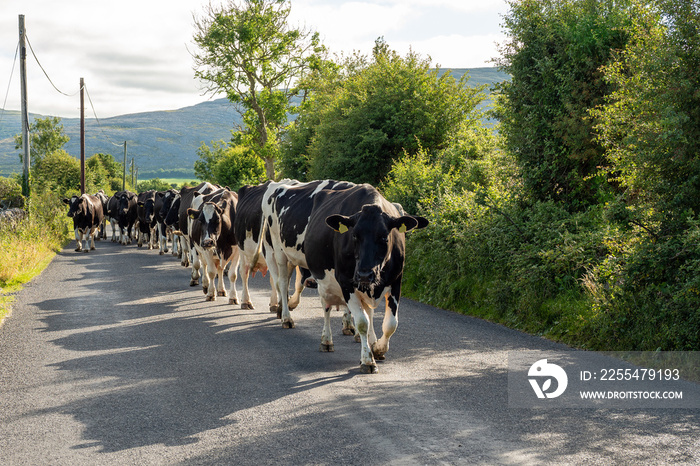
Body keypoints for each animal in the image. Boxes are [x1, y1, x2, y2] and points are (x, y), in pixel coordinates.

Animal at [262, 180, 426, 374]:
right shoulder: (346, 283)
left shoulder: (395, 282)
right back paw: (296, 323)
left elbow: (390, 323)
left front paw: (377, 348)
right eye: (354, 235)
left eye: (385, 238)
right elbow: (362, 321)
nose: (364, 273)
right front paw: (367, 360)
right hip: (280, 252)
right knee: (287, 285)